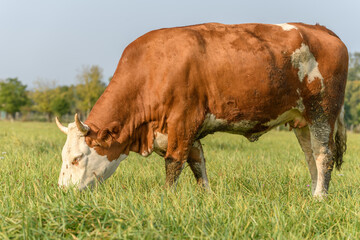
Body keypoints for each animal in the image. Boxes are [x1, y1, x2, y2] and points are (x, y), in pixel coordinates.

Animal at [54, 23, 348, 199]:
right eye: (64, 157)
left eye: (77, 158)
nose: (62, 192)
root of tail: (320, 29)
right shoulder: (186, 130)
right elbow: (197, 164)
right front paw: (205, 198)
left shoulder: (183, 120)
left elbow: (174, 162)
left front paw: (167, 199)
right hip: (302, 120)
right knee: (311, 156)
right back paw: (312, 193)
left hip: (322, 111)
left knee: (324, 155)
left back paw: (320, 197)